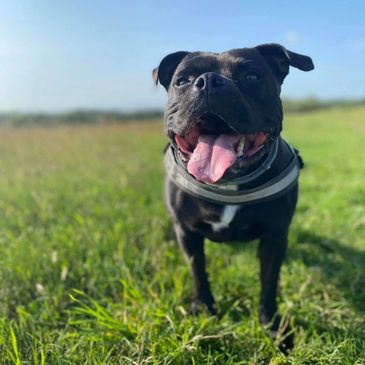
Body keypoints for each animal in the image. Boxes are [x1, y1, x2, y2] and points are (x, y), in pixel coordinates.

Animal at [152, 44, 312, 348]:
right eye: (182, 80)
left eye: (252, 76)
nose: (208, 81)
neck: (227, 185)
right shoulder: (187, 232)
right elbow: (198, 272)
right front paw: (203, 309)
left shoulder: (275, 236)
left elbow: (268, 283)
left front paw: (272, 327)